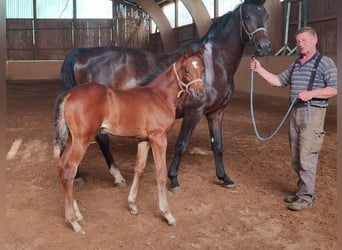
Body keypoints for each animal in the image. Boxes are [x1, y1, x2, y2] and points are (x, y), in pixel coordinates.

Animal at [60, 0, 272, 191]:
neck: (212, 63)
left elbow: (218, 146)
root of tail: (83, 53)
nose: (264, 46)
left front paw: (225, 178)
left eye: (266, 16)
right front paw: (174, 179)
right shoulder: (194, 112)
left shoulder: (216, 113)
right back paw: (114, 176)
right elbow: (181, 145)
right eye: (247, 16)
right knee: (99, 140)